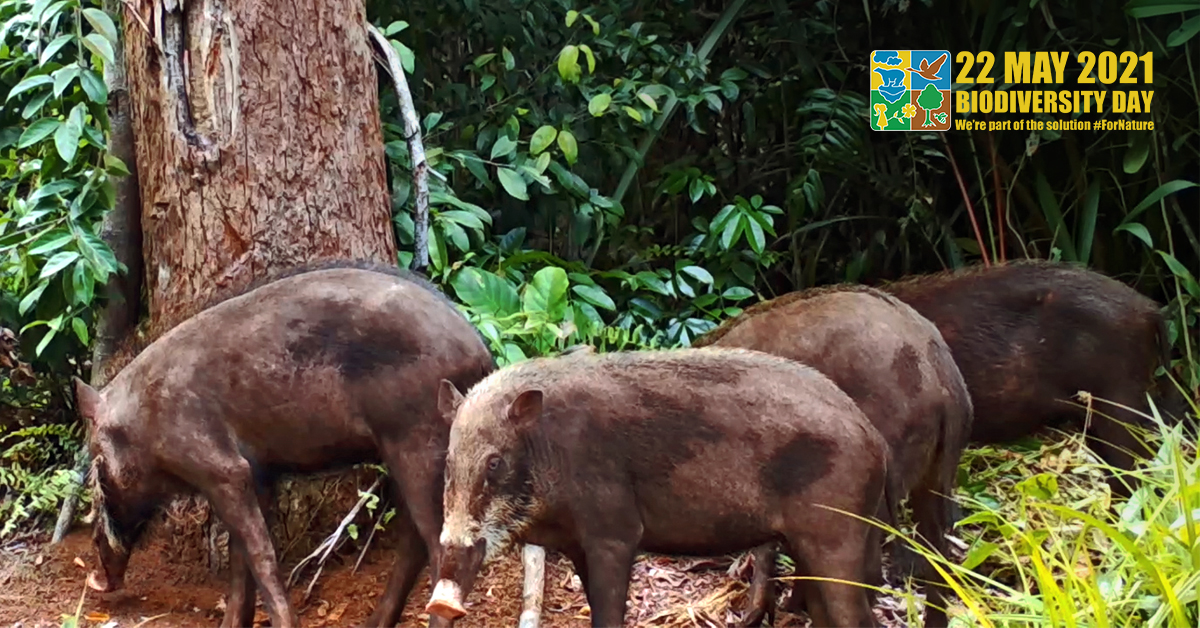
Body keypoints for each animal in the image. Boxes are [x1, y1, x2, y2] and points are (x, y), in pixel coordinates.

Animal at [72, 261, 494, 628]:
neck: (143, 423)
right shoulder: (257, 475)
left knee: (448, 548)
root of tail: (483, 357)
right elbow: (240, 561)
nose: (95, 579)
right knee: (415, 542)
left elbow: (260, 554)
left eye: (97, 461)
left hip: (418, 441)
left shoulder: (222, 468)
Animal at [427, 348, 897, 628]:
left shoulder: (615, 531)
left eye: (494, 462)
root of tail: (875, 436)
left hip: (835, 535)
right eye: (449, 463)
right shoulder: (578, 543)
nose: (439, 601)